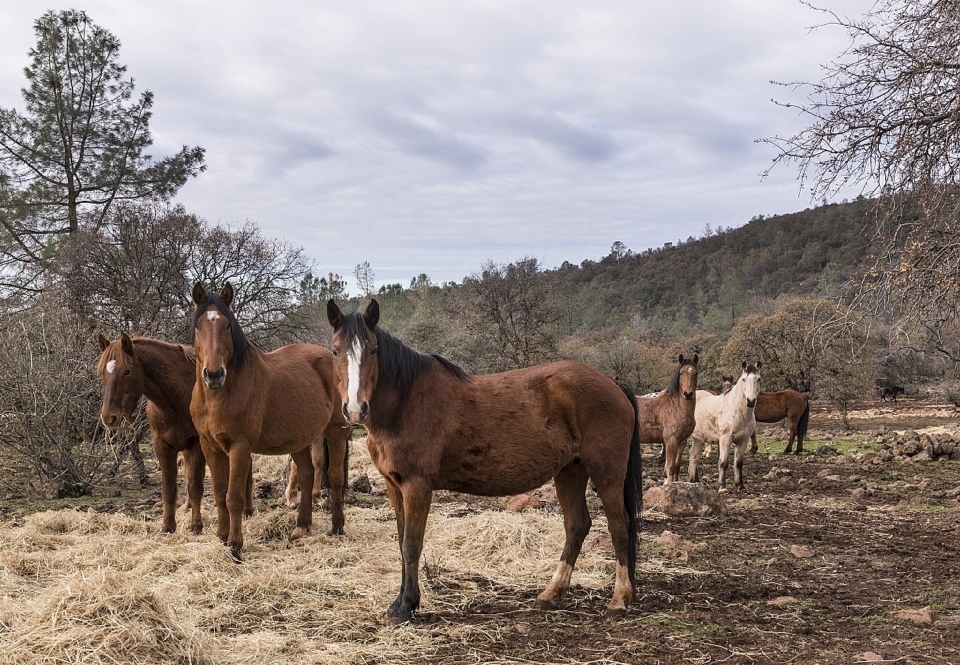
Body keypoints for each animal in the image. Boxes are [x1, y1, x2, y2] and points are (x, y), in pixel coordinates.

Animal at [97, 332, 253, 536]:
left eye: (127, 371)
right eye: (102, 372)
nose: (109, 417)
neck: (175, 401)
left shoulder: (197, 445)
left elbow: (195, 486)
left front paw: (196, 526)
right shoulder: (163, 447)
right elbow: (169, 489)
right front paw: (168, 526)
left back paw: (247, 511)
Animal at [189, 282, 350, 556]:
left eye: (227, 325)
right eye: (198, 325)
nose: (214, 374)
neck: (220, 395)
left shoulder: (240, 447)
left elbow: (234, 497)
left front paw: (235, 546)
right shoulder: (210, 446)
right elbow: (220, 493)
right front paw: (221, 537)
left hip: (336, 432)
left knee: (336, 477)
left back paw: (337, 527)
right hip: (299, 439)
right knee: (306, 476)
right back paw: (301, 527)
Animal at [326, 300, 640, 624]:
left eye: (373, 350)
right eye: (335, 351)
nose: (355, 409)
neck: (406, 402)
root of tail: (613, 384)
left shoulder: (417, 486)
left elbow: (411, 544)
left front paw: (406, 606)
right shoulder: (394, 485)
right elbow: (402, 543)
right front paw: (401, 603)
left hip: (607, 474)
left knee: (619, 526)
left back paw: (619, 599)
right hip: (570, 471)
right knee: (577, 526)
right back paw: (551, 594)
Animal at [636, 352, 696, 482]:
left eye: (695, 373)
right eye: (681, 373)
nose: (688, 394)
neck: (675, 407)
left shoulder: (682, 442)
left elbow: (676, 467)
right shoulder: (670, 441)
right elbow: (670, 467)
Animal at [688, 360, 760, 490]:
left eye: (758, 379)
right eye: (744, 379)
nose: (751, 401)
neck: (736, 410)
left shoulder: (743, 440)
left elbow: (738, 463)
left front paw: (740, 485)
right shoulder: (725, 439)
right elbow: (723, 462)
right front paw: (721, 485)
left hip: (698, 438)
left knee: (693, 456)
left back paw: (692, 481)